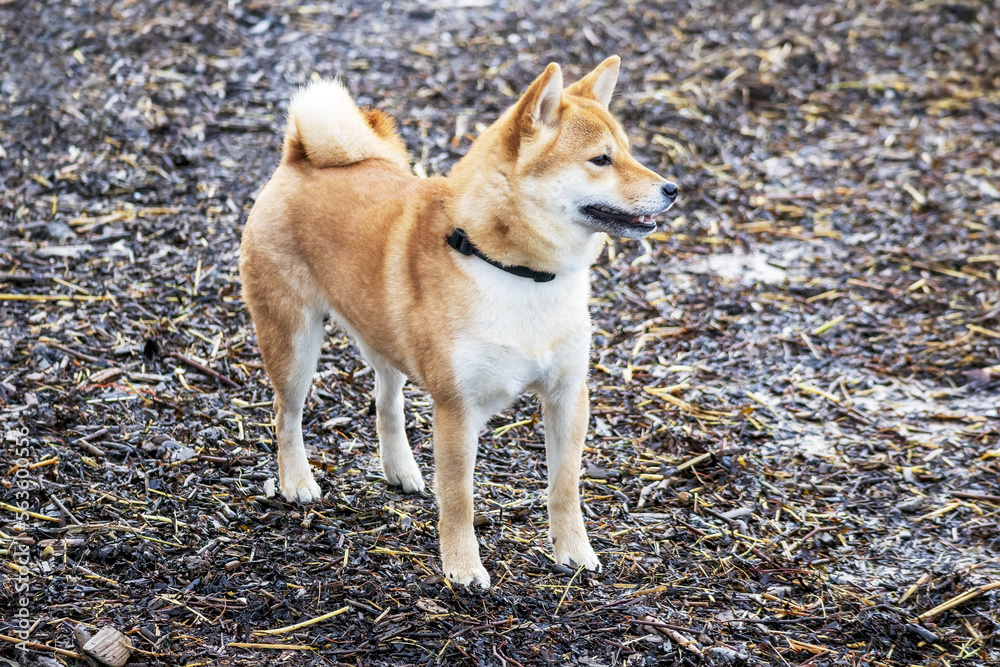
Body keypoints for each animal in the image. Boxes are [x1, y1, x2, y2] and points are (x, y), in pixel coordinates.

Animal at [240, 58, 680, 588]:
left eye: (630, 152)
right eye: (601, 159)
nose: (673, 189)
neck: (522, 275)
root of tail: (299, 157)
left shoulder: (567, 395)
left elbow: (565, 487)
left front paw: (574, 552)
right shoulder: (457, 409)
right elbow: (459, 497)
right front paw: (463, 566)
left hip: (383, 334)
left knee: (386, 402)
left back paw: (400, 469)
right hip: (295, 343)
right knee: (286, 414)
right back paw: (297, 480)